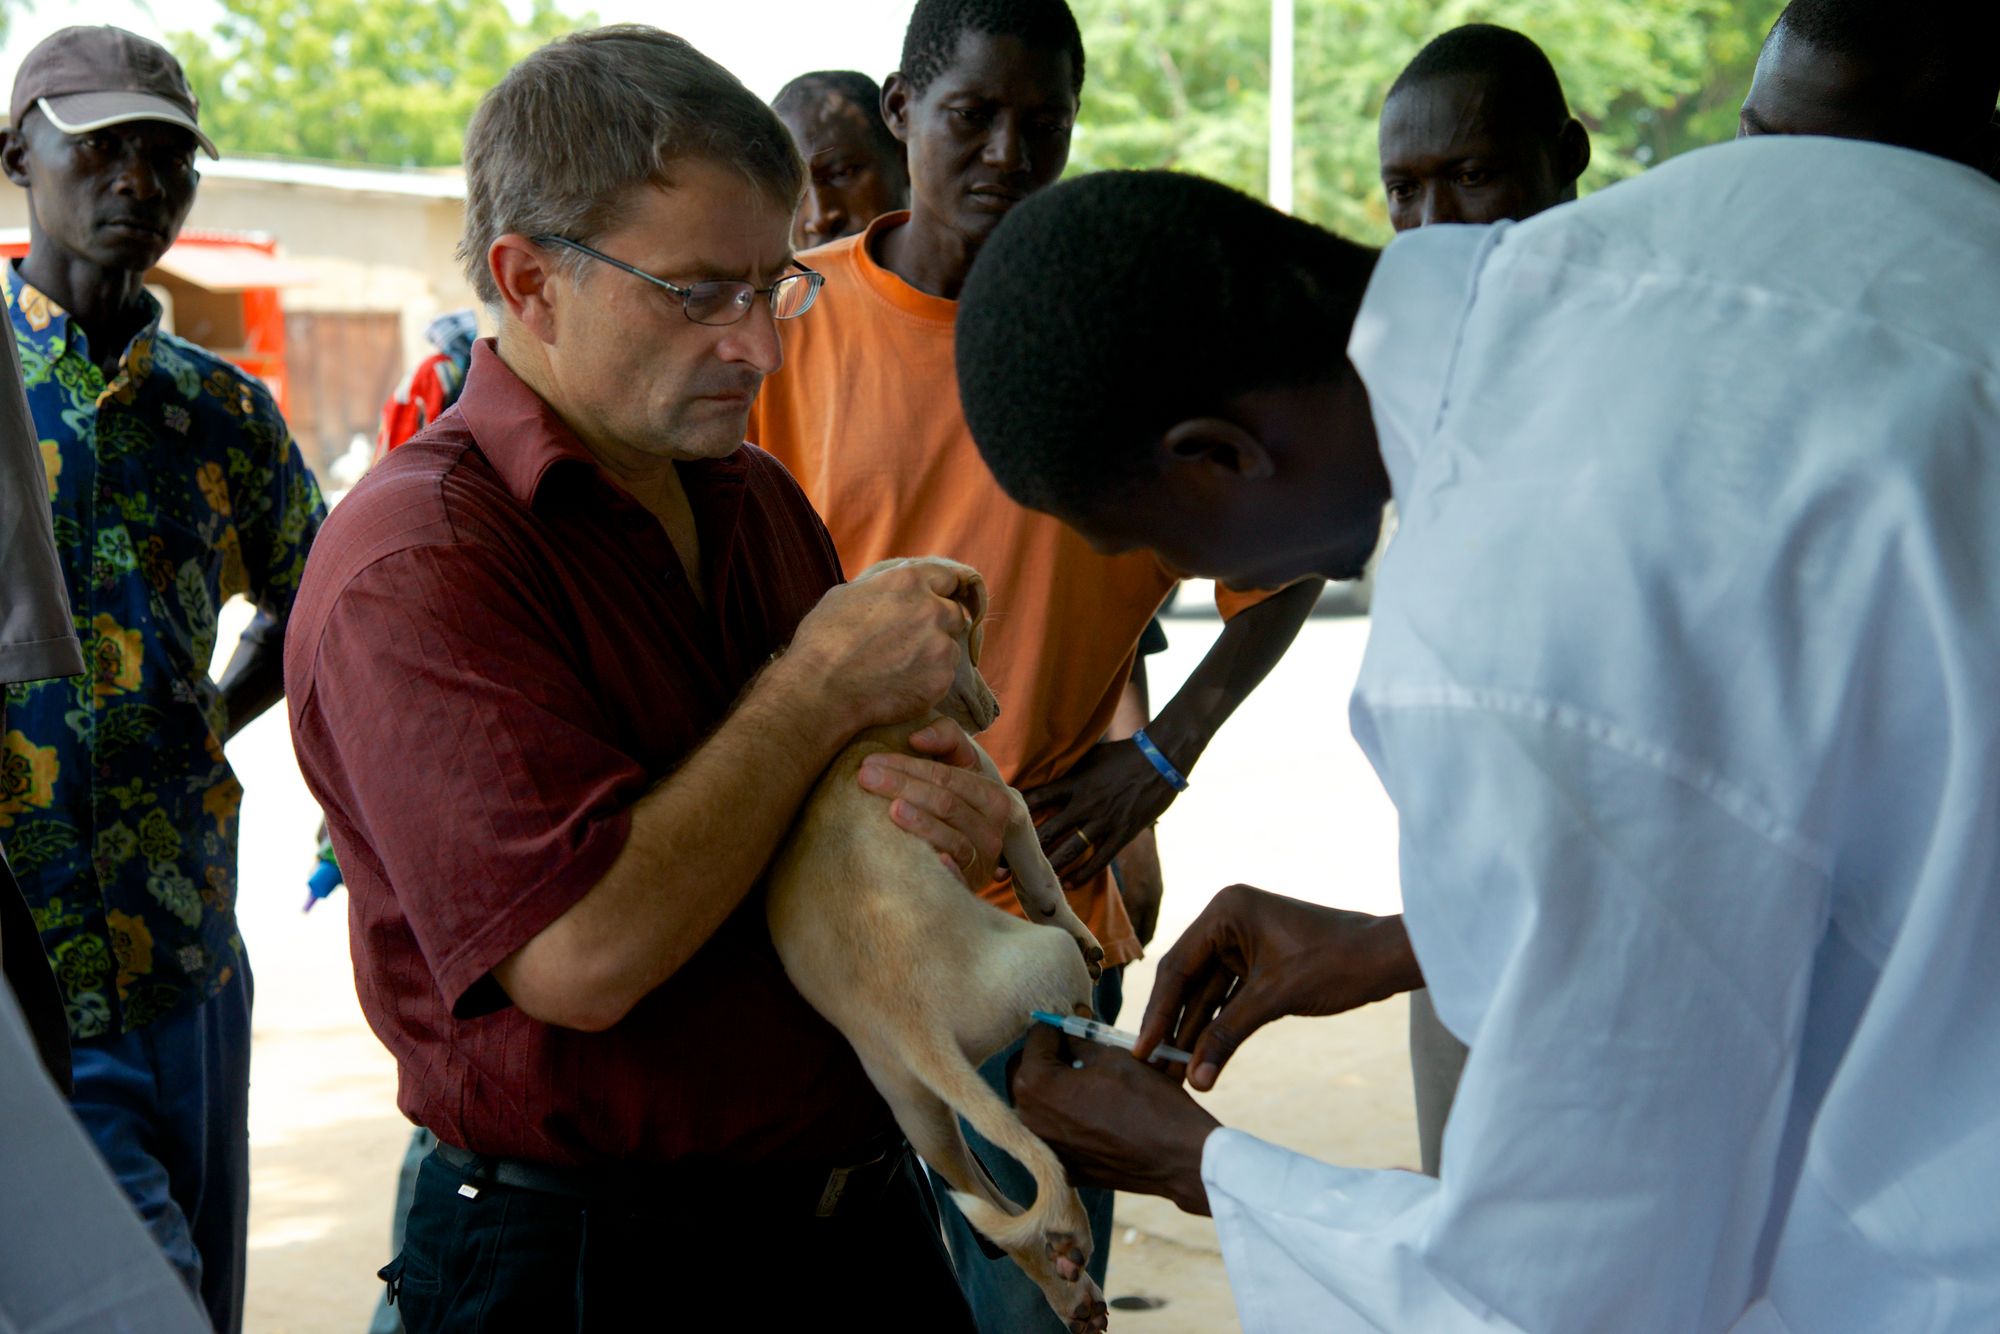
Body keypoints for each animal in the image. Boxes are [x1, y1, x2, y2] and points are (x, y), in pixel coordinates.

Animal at [764, 560, 1112, 1328]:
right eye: (973, 642)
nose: (998, 711)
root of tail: (915, 1021)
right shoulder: (1000, 794)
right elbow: (1041, 872)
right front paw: (1080, 926)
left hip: (915, 1108)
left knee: (1007, 1219)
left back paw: (1070, 1287)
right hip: (1041, 967)